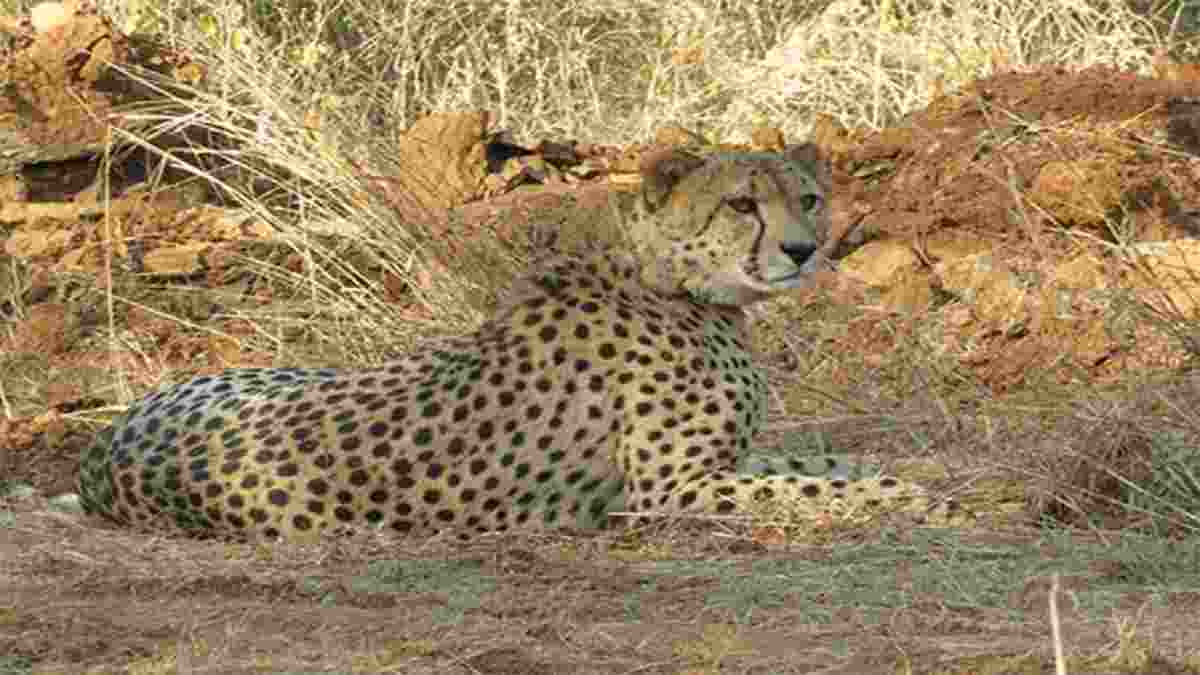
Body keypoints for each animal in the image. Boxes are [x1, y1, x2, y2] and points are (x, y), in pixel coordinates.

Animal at [77, 143, 963, 540]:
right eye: (742, 204)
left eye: (807, 197)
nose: (803, 250)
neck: (671, 280)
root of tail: (105, 444)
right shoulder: (666, 490)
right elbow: (807, 486)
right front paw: (917, 500)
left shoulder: (721, 462)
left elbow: (822, 460)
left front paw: (918, 478)